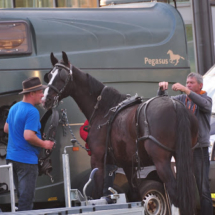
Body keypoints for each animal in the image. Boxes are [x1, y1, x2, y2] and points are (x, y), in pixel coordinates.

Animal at [42, 51, 198, 214]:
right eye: (50, 75)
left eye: (62, 77)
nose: (45, 99)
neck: (104, 110)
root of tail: (175, 104)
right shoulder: (128, 164)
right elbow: (135, 195)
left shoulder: (98, 161)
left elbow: (98, 194)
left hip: (162, 160)